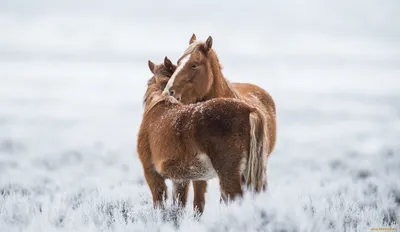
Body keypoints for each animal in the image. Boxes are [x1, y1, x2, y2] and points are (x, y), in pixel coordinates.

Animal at [139, 57, 268, 212]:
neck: (158, 104)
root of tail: (249, 109)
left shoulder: (152, 174)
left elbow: (160, 204)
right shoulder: (180, 180)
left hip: (229, 173)